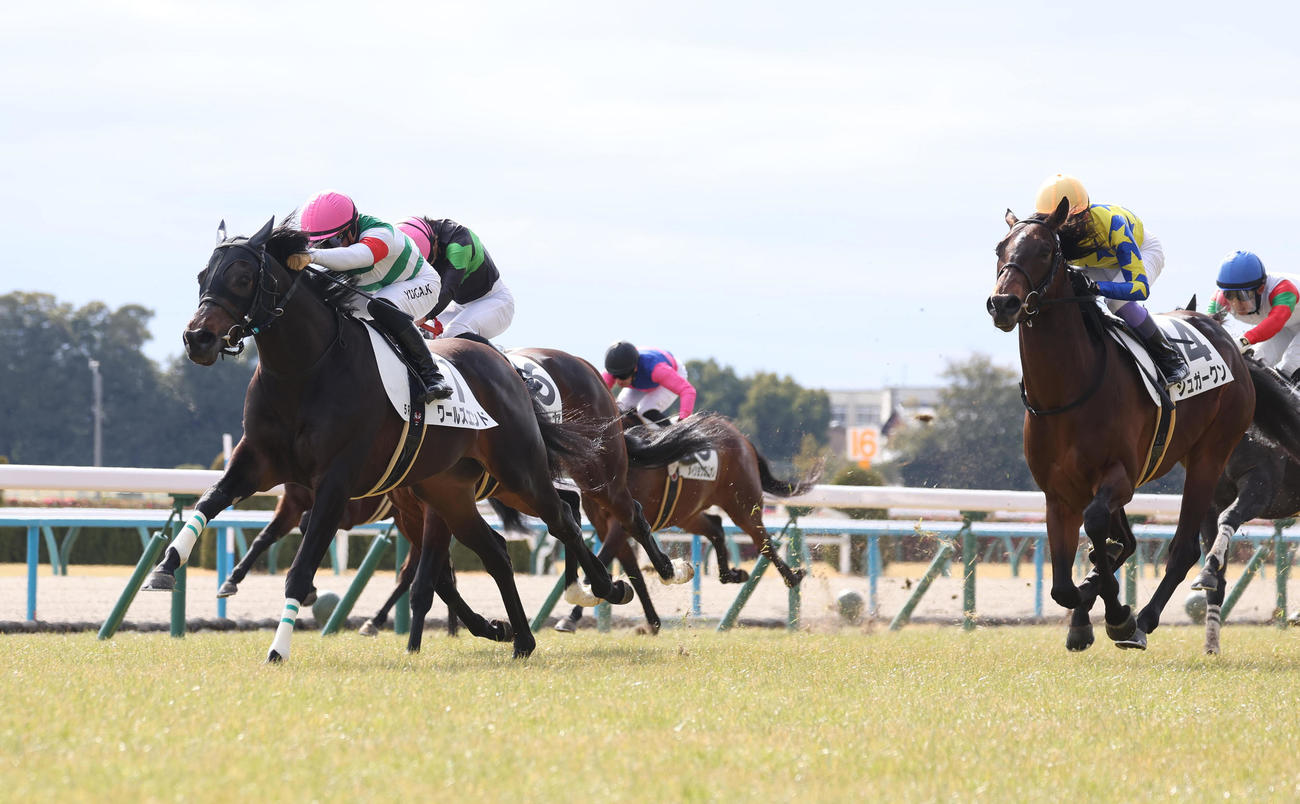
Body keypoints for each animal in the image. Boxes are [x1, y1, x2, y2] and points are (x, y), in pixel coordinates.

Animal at [144, 217, 634, 661]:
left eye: (243, 278)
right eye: (203, 276)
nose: (197, 338)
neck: (305, 371)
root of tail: (503, 365)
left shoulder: (335, 482)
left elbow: (302, 569)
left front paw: (278, 650)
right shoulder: (259, 461)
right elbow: (210, 501)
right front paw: (164, 568)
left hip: (518, 471)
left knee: (564, 519)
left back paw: (603, 589)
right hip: (447, 490)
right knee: (496, 550)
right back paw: (519, 638)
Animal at [986, 197, 1300, 651]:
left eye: (1045, 250)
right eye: (999, 248)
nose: (1003, 304)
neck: (1068, 391)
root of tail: (1231, 346)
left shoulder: (1121, 478)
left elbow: (1098, 533)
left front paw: (1118, 614)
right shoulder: (1058, 494)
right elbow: (1065, 582)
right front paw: (1086, 611)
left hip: (1208, 458)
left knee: (1184, 550)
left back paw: (1144, 618)